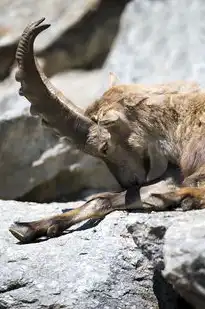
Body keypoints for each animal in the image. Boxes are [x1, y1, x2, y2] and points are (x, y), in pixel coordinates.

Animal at [9, 18, 205, 242]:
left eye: (104, 147)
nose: (128, 182)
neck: (184, 120)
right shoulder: (172, 175)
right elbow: (103, 199)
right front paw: (29, 227)